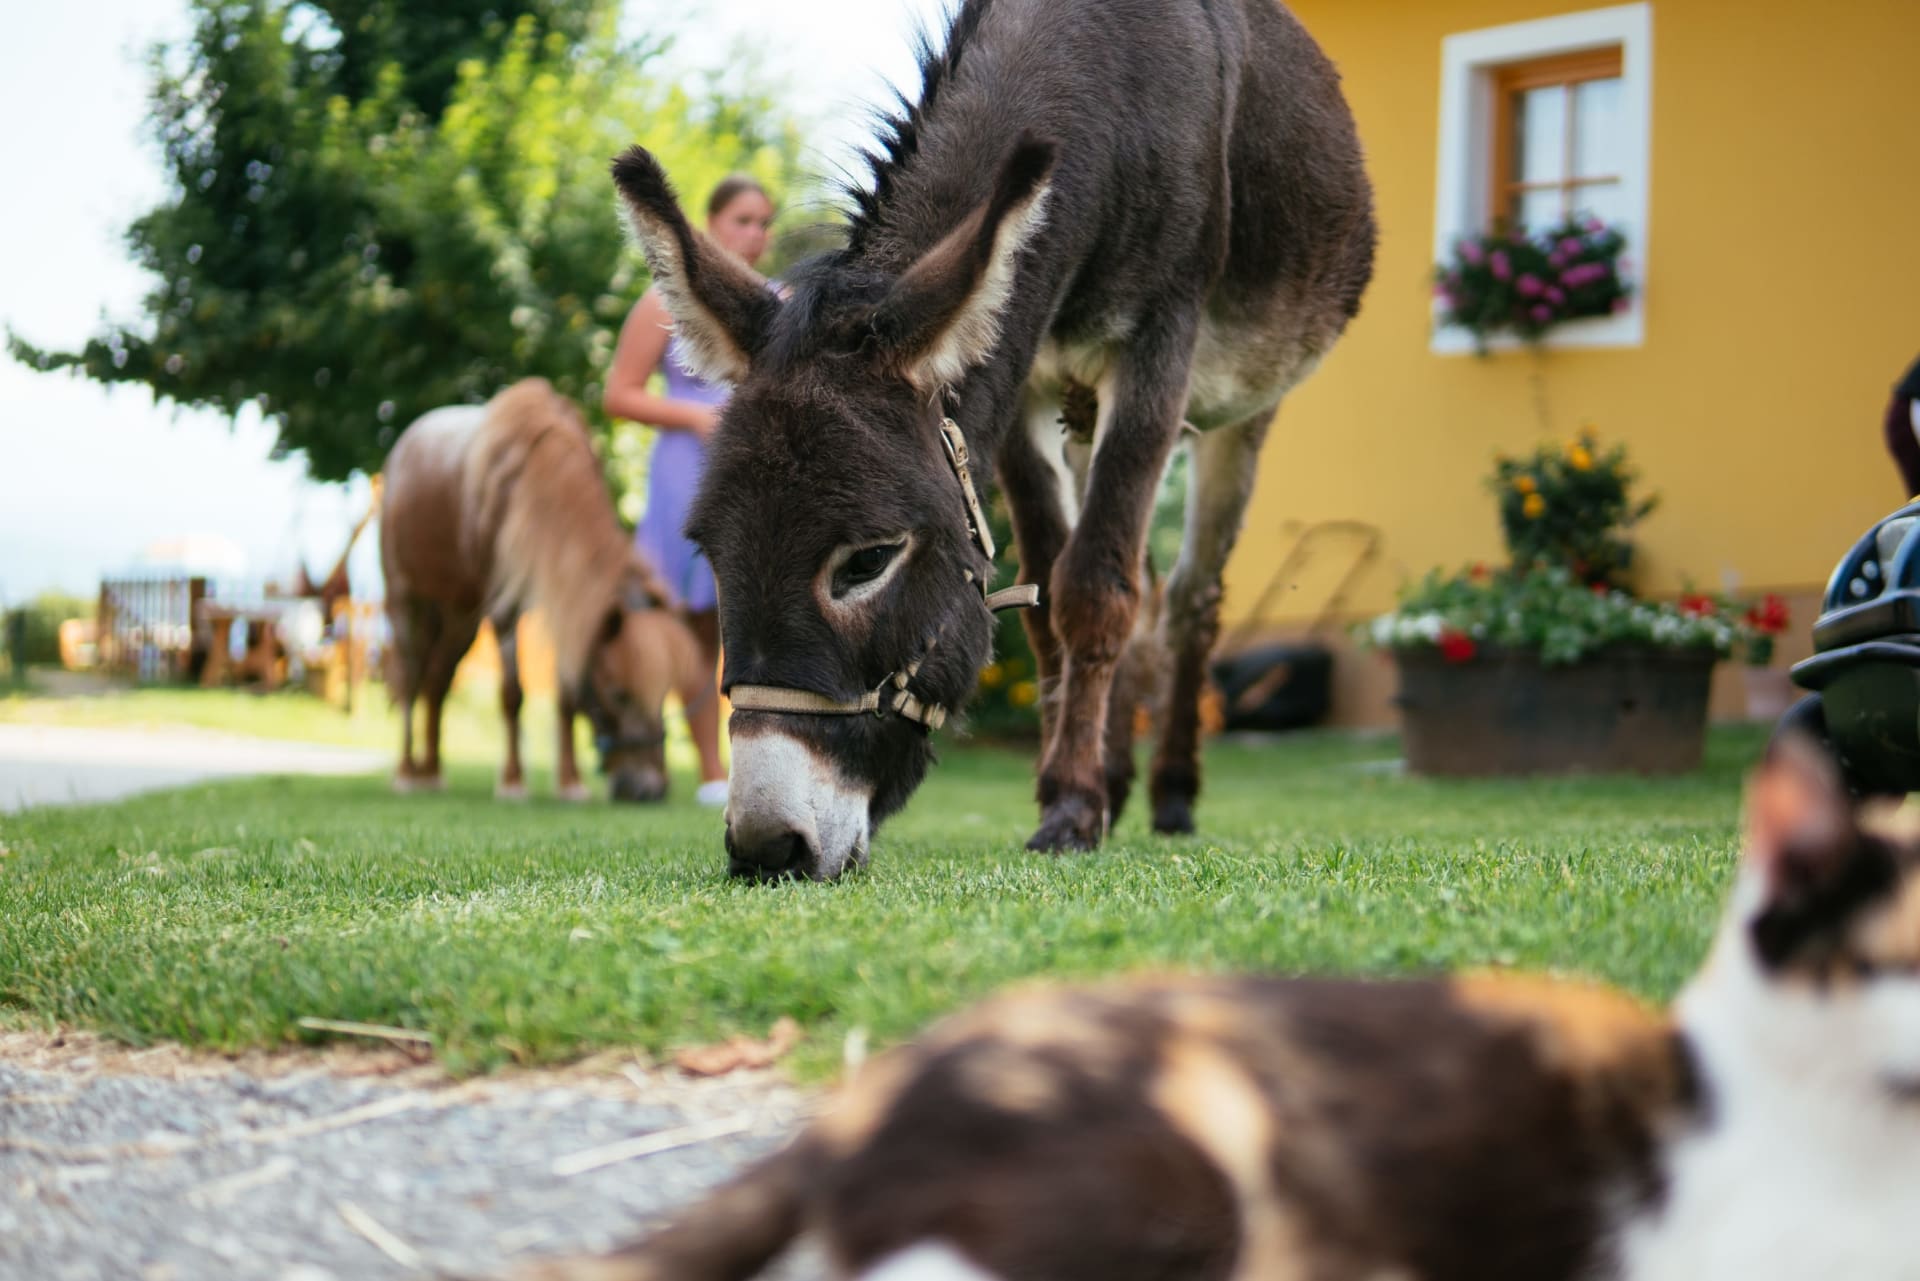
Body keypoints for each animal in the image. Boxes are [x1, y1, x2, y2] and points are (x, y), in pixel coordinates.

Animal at [379, 378, 706, 802]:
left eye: (664, 690)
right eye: (619, 693)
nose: (649, 790)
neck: (532, 485)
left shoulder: (566, 604)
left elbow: (566, 698)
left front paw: (570, 783)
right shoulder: (504, 610)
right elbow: (512, 693)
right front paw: (513, 781)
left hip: (461, 615)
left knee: (437, 681)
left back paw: (430, 772)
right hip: (405, 598)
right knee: (411, 678)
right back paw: (406, 773)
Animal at [612, 0, 1374, 877]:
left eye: (868, 561)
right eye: (710, 553)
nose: (768, 846)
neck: (1102, 74)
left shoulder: (1158, 349)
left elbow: (1092, 590)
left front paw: (1071, 810)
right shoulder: (1019, 379)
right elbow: (1049, 598)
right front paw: (1074, 790)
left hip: (1240, 415)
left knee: (1188, 599)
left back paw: (1171, 792)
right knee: (1140, 581)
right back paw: (1116, 776)